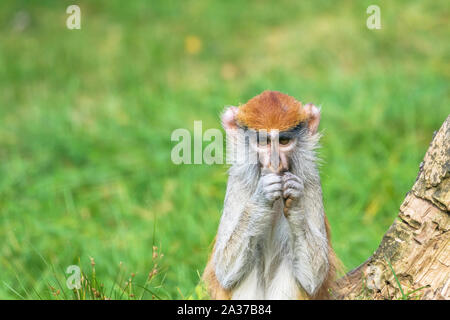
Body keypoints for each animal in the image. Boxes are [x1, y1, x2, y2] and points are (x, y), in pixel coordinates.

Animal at [202, 90, 336, 300]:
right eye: (263, 141)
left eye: (284, 141)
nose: (275, 163)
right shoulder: (238, 182)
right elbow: (224, 271)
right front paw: (262, 197)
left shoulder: (311, 181)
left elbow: (315, 277)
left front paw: (295, 202)